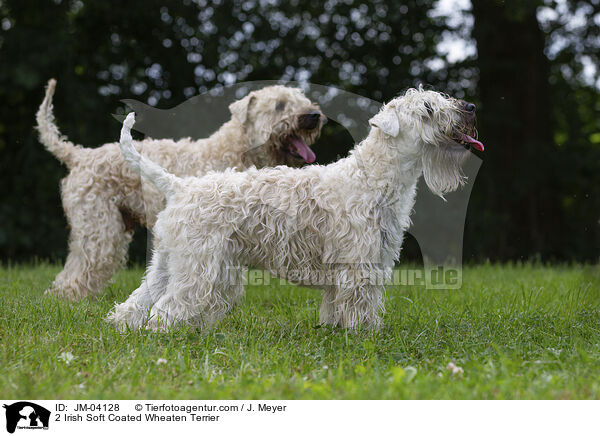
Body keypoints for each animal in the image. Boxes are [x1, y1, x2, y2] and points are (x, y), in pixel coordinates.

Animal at [36, 79, 324, 300]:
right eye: (279, 105)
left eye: (303, 98)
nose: (314, 116)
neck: (235, 150)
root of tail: (78, 155)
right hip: (99, 227)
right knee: (83, 268)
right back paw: (69, 301)